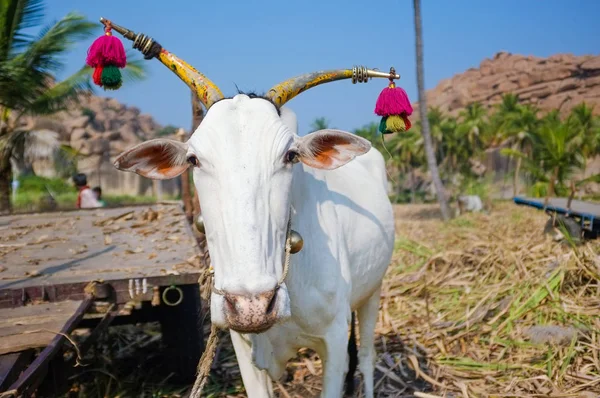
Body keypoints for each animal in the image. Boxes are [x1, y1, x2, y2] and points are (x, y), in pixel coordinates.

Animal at [107, 26, 398, 396]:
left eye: (290, 155)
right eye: (194, 159)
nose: (252, 306)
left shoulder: (332, 340)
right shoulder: (242, 345)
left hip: (373, 292)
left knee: (367, 358)